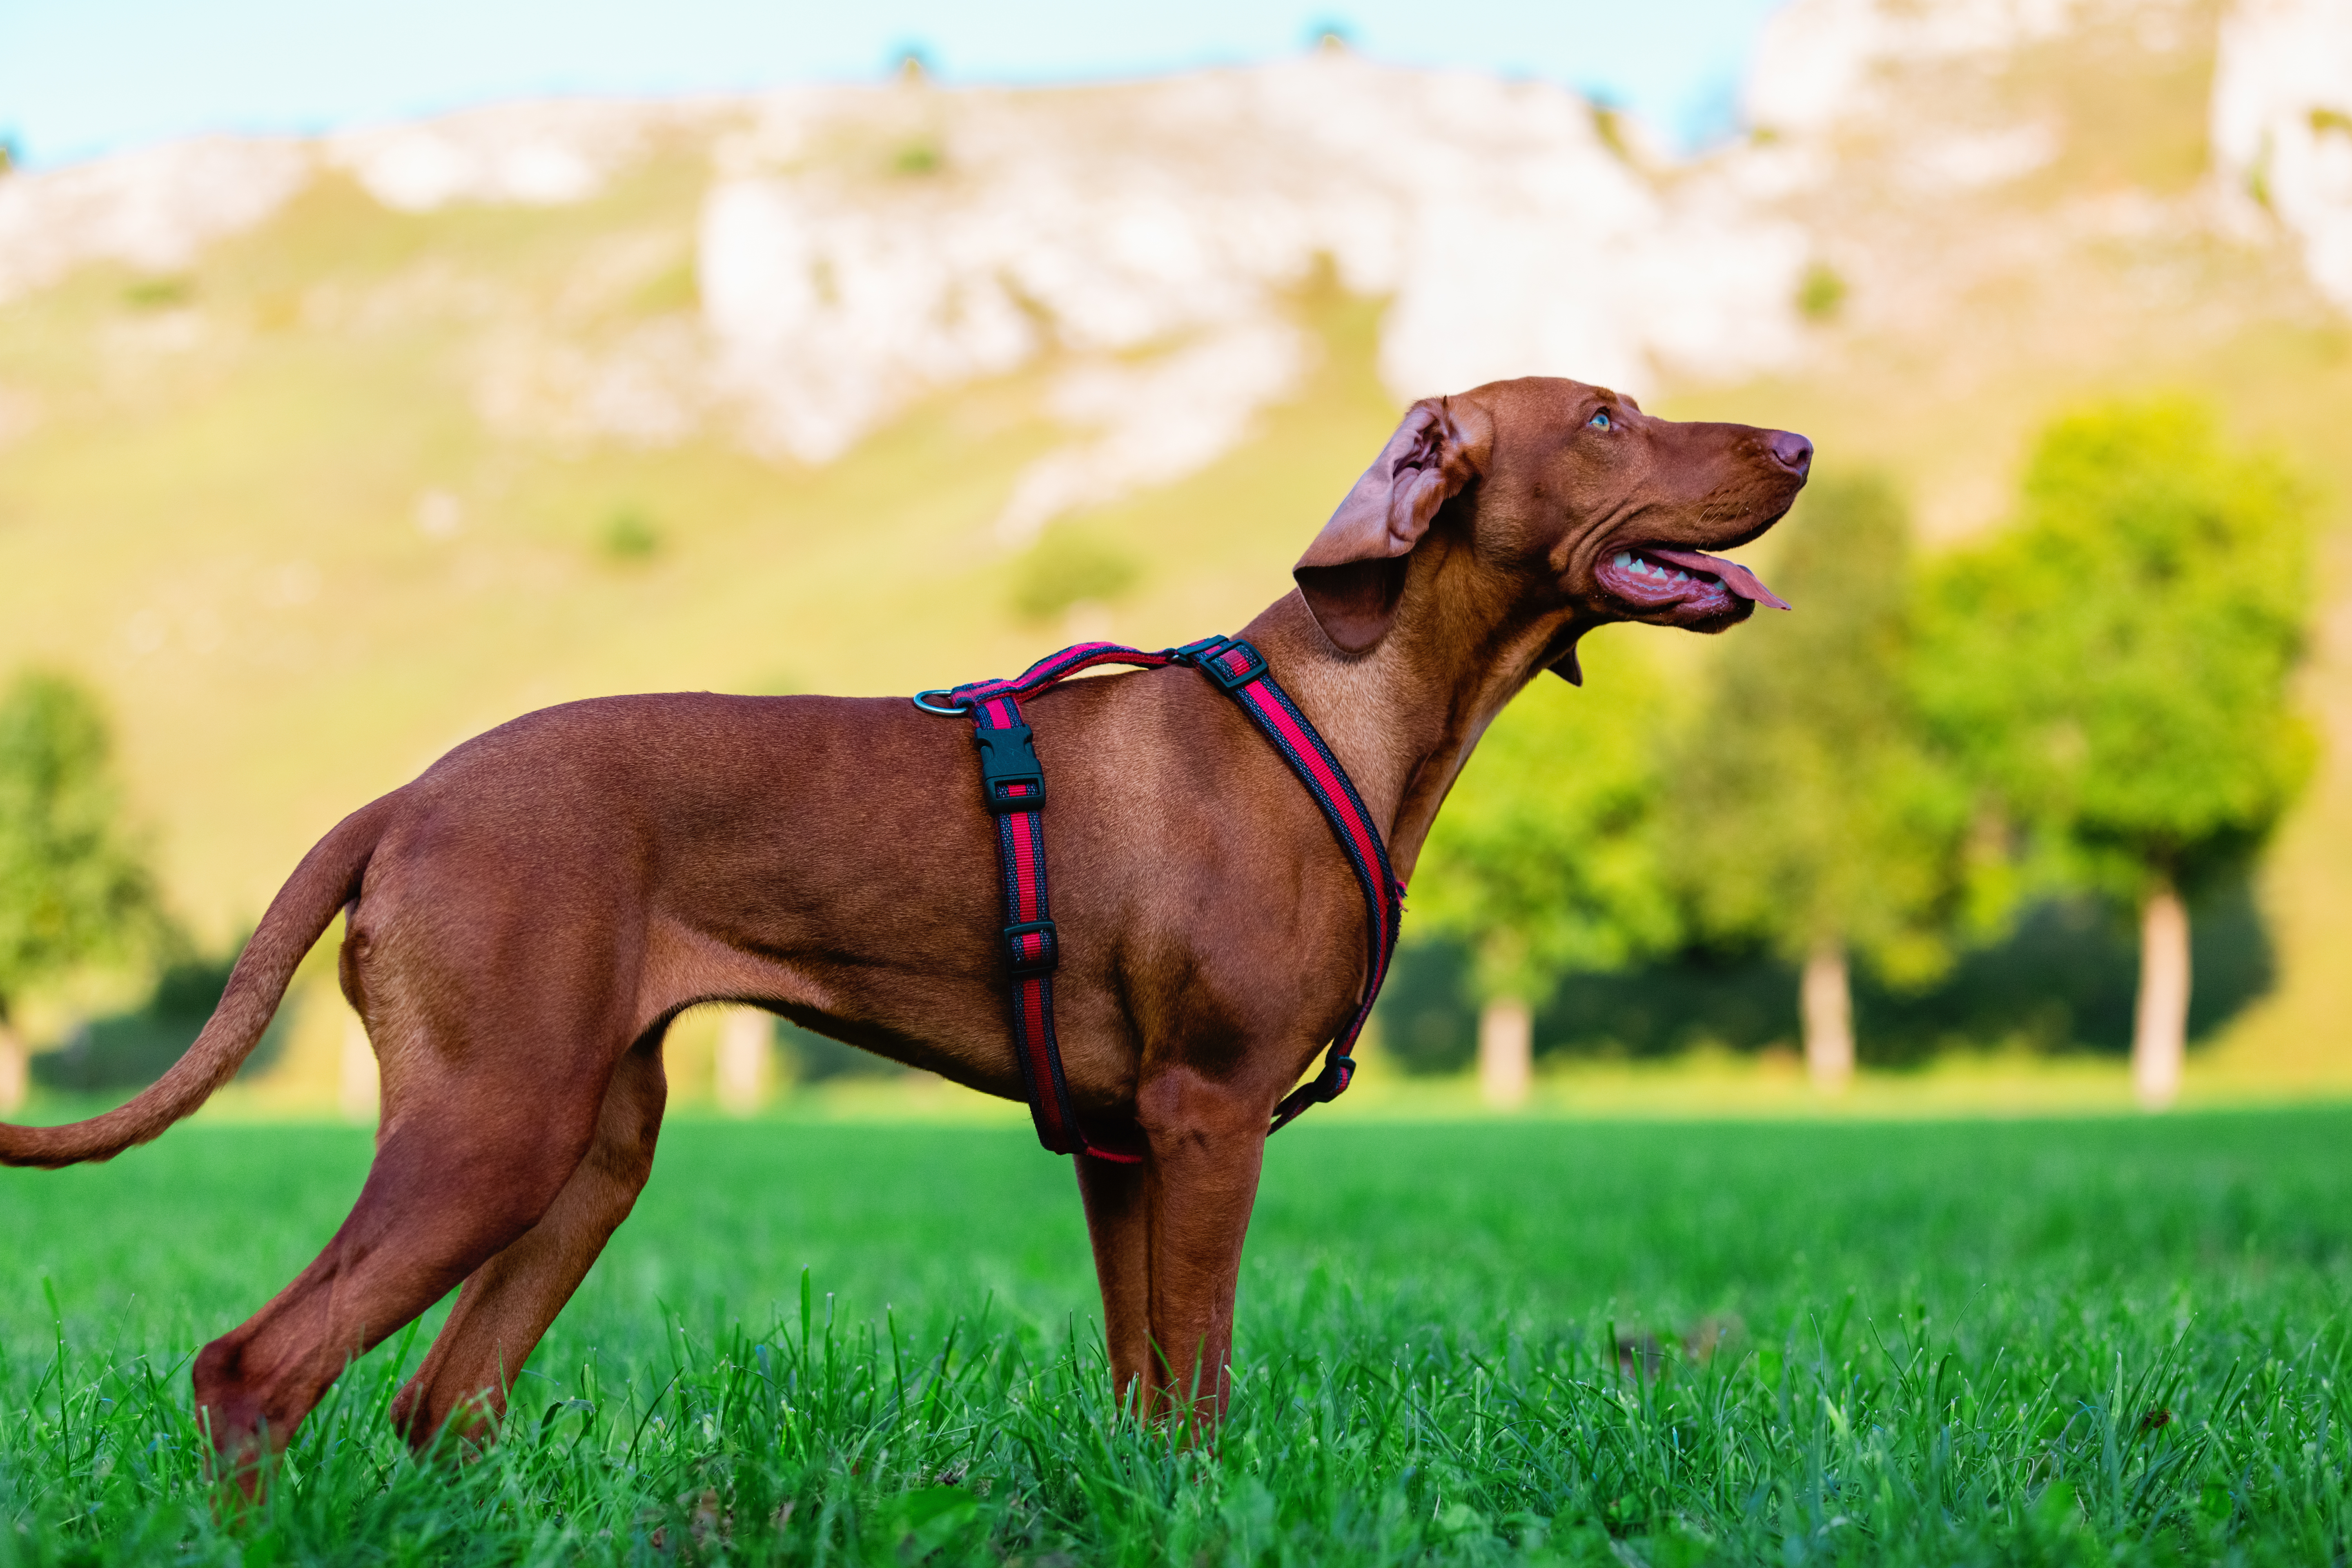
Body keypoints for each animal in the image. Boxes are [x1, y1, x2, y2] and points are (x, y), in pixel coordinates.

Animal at [0, 376, 1806, 1476]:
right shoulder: (1209, 1117)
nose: (1797, 447)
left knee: (441, 1403)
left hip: (591, 1149)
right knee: (259, 1367)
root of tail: (405, 797)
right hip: (495, 1131)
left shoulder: (1124, 1146)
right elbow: (1206, 1386)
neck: (1342, 707)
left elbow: (1146, 1384)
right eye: (1605, 415)